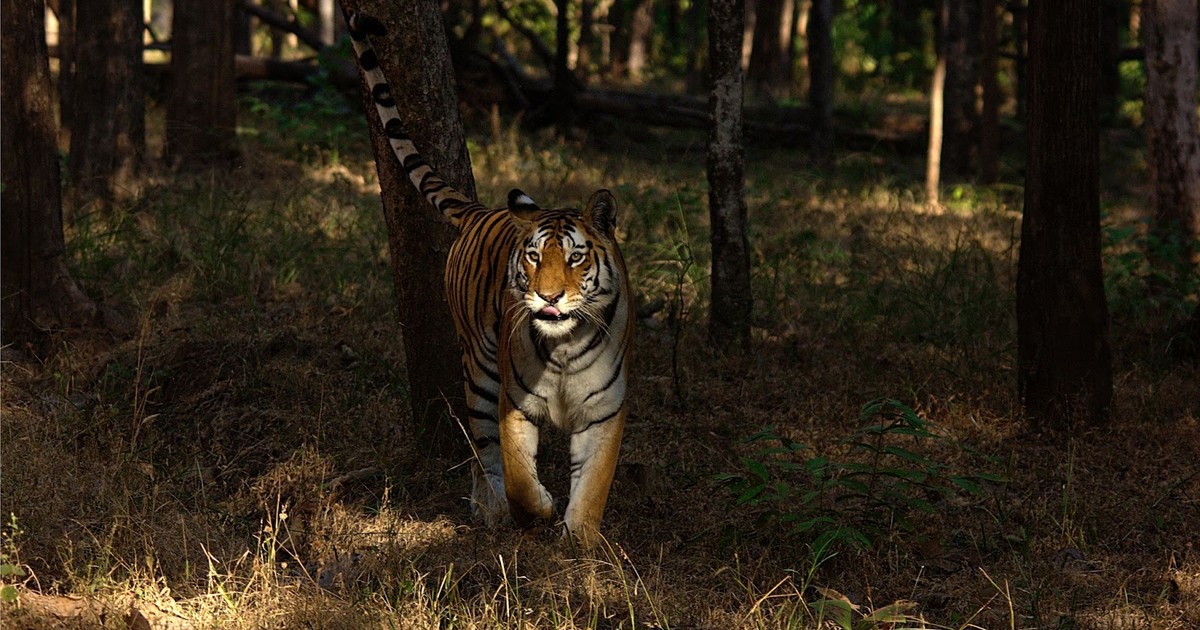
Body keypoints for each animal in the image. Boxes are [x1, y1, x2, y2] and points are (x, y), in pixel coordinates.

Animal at [345, 10, 633, 546]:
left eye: (576, 258)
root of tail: (481, 211)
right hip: (478, 369)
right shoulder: (513, 403)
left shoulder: (603, 411)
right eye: (535, 257)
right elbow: (518, 471)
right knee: (482, 450)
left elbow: (593, 485)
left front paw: (580, 542)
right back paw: (491, 509)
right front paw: (536, 510)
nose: (548, 296)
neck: (564, 347)